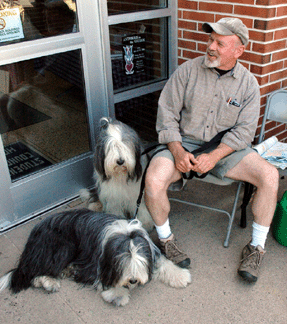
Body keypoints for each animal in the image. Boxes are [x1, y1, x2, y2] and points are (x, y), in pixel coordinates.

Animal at [0, 209, 194, 306]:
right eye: (123, 266)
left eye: (138, 265)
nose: (132, 281)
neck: (124, 233)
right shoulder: (97, 261)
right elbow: (103, 278)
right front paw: (118, 294)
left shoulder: (149, 250)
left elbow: (163, 262)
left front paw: (180, 275)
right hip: (61, 245)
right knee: (33, 272)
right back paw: (49, 281)